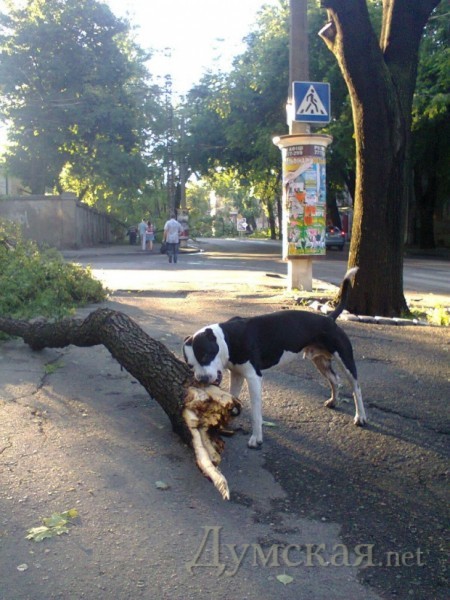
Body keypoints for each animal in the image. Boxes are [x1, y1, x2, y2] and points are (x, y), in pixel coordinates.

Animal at [183, 267, 366, 448]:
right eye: (190, 365)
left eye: (205, 355)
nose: (202, 379)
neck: (228, 339)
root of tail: (329, 318)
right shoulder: (237, 375)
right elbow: (232, 397)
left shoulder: (254, 378)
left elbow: (256, 412)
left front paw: (256, 438)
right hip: (320, 361)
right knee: (335, 379)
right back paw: (334, 401)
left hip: (345, 360)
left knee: (356, 387)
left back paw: (361, 417)